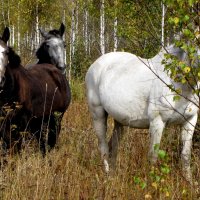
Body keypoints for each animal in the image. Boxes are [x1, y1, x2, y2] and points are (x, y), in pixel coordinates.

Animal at [85, 44, 199, 181]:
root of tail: (95, 64)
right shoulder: (157, 122)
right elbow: (153, 156)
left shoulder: (190, 121)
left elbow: (186, 156)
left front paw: (189, 182)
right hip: (98, 114)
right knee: (103, 148)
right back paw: (107, 176)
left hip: (119, 121)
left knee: (113, 147)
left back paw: (112, 176)